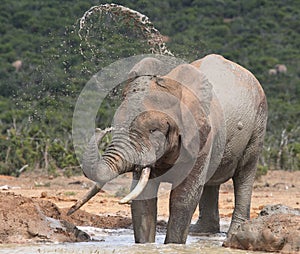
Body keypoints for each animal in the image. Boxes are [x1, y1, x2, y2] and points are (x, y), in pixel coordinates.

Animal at [72, 53, 268, 244]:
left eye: (153, 130)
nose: (101, 130)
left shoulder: (201, 138)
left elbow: (184, 197)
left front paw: (173, 245)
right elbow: (144, 198)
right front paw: (146, 246)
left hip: (257, 126)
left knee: (244, 175)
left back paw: (232, 236)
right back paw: (202, 232)